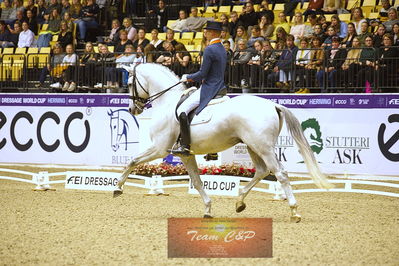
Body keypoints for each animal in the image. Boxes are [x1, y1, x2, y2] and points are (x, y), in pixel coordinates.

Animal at [116, 63, 334, 221]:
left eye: (130, 84)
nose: (132, 109)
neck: (168, 102)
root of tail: (273, 104)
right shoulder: (187, 155)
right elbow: (196, 180)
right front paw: (208, 209)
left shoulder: (160, 148)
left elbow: (132, 161)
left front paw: (117, 187)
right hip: (253, 146)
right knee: (262, 171)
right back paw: (239, 201)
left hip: (263, 147)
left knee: (279, 173)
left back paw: (294, 211)